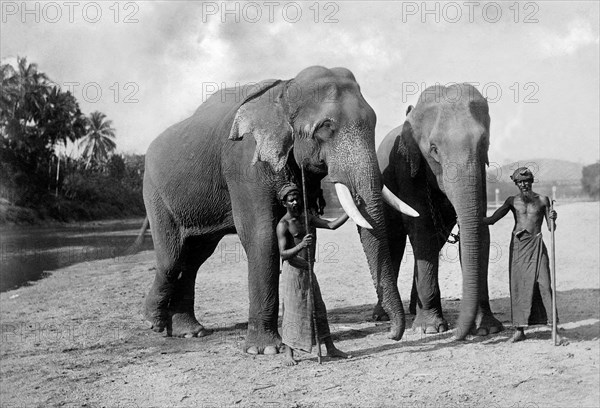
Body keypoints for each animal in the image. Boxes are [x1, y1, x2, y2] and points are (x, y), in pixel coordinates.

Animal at [141, 67, 414, 354]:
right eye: (325, 128)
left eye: (373, 122)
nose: (391, 334)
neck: (285, 90)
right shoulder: (244, 164)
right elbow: (262, 237)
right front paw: (266, 350)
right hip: (155, 193)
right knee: (172, 258)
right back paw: (153, 322)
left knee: (195, 257)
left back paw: (189, 331)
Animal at [378, 84, 504, 340]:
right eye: (434, 149)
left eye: (484, 142)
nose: (458, 336)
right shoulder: (407, 166)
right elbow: (422, 228)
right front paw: (429, 329)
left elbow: (477, 230)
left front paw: (487, 328)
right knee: (393, 240)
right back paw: (382, 315)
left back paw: (412, 308)